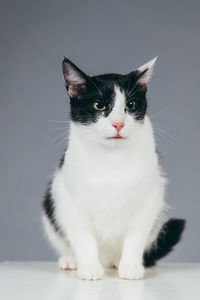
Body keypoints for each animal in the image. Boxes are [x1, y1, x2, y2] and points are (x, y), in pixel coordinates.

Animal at [42, 57, 186, 280]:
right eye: (99, 105)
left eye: (130, 105)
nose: (118, 123)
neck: (111, 160)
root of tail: (107, 260)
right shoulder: (70, 202)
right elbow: (83, 238)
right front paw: (89, 268)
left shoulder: (148, 202)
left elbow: (135, 238)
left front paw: (131, 267)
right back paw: (71, 260)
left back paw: (119, 263)